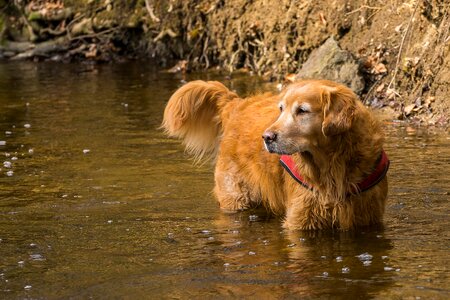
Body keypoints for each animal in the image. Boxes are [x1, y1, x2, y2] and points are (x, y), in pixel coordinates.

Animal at [162, 79, 386, 230]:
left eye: (302, 110)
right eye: (281, 109)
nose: (267, 137)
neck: (333, 161)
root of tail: (236, 104)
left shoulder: (367, 215)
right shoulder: (300, 217)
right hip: (236, 196)